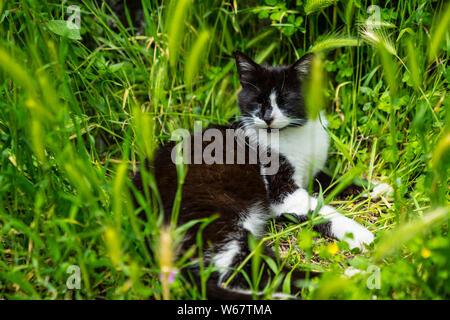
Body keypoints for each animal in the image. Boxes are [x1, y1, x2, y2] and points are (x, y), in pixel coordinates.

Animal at [134, 50, 390, 300]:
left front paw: (380, 188)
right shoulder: (282, 191)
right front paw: (359, 233)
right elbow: (321, 210)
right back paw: (351, 278)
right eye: (257, 101)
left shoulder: (312, 172)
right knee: (255, 272)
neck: (293, 134)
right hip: (214, 221)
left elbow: (339, 180)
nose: (267, 117)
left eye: (285, 100)